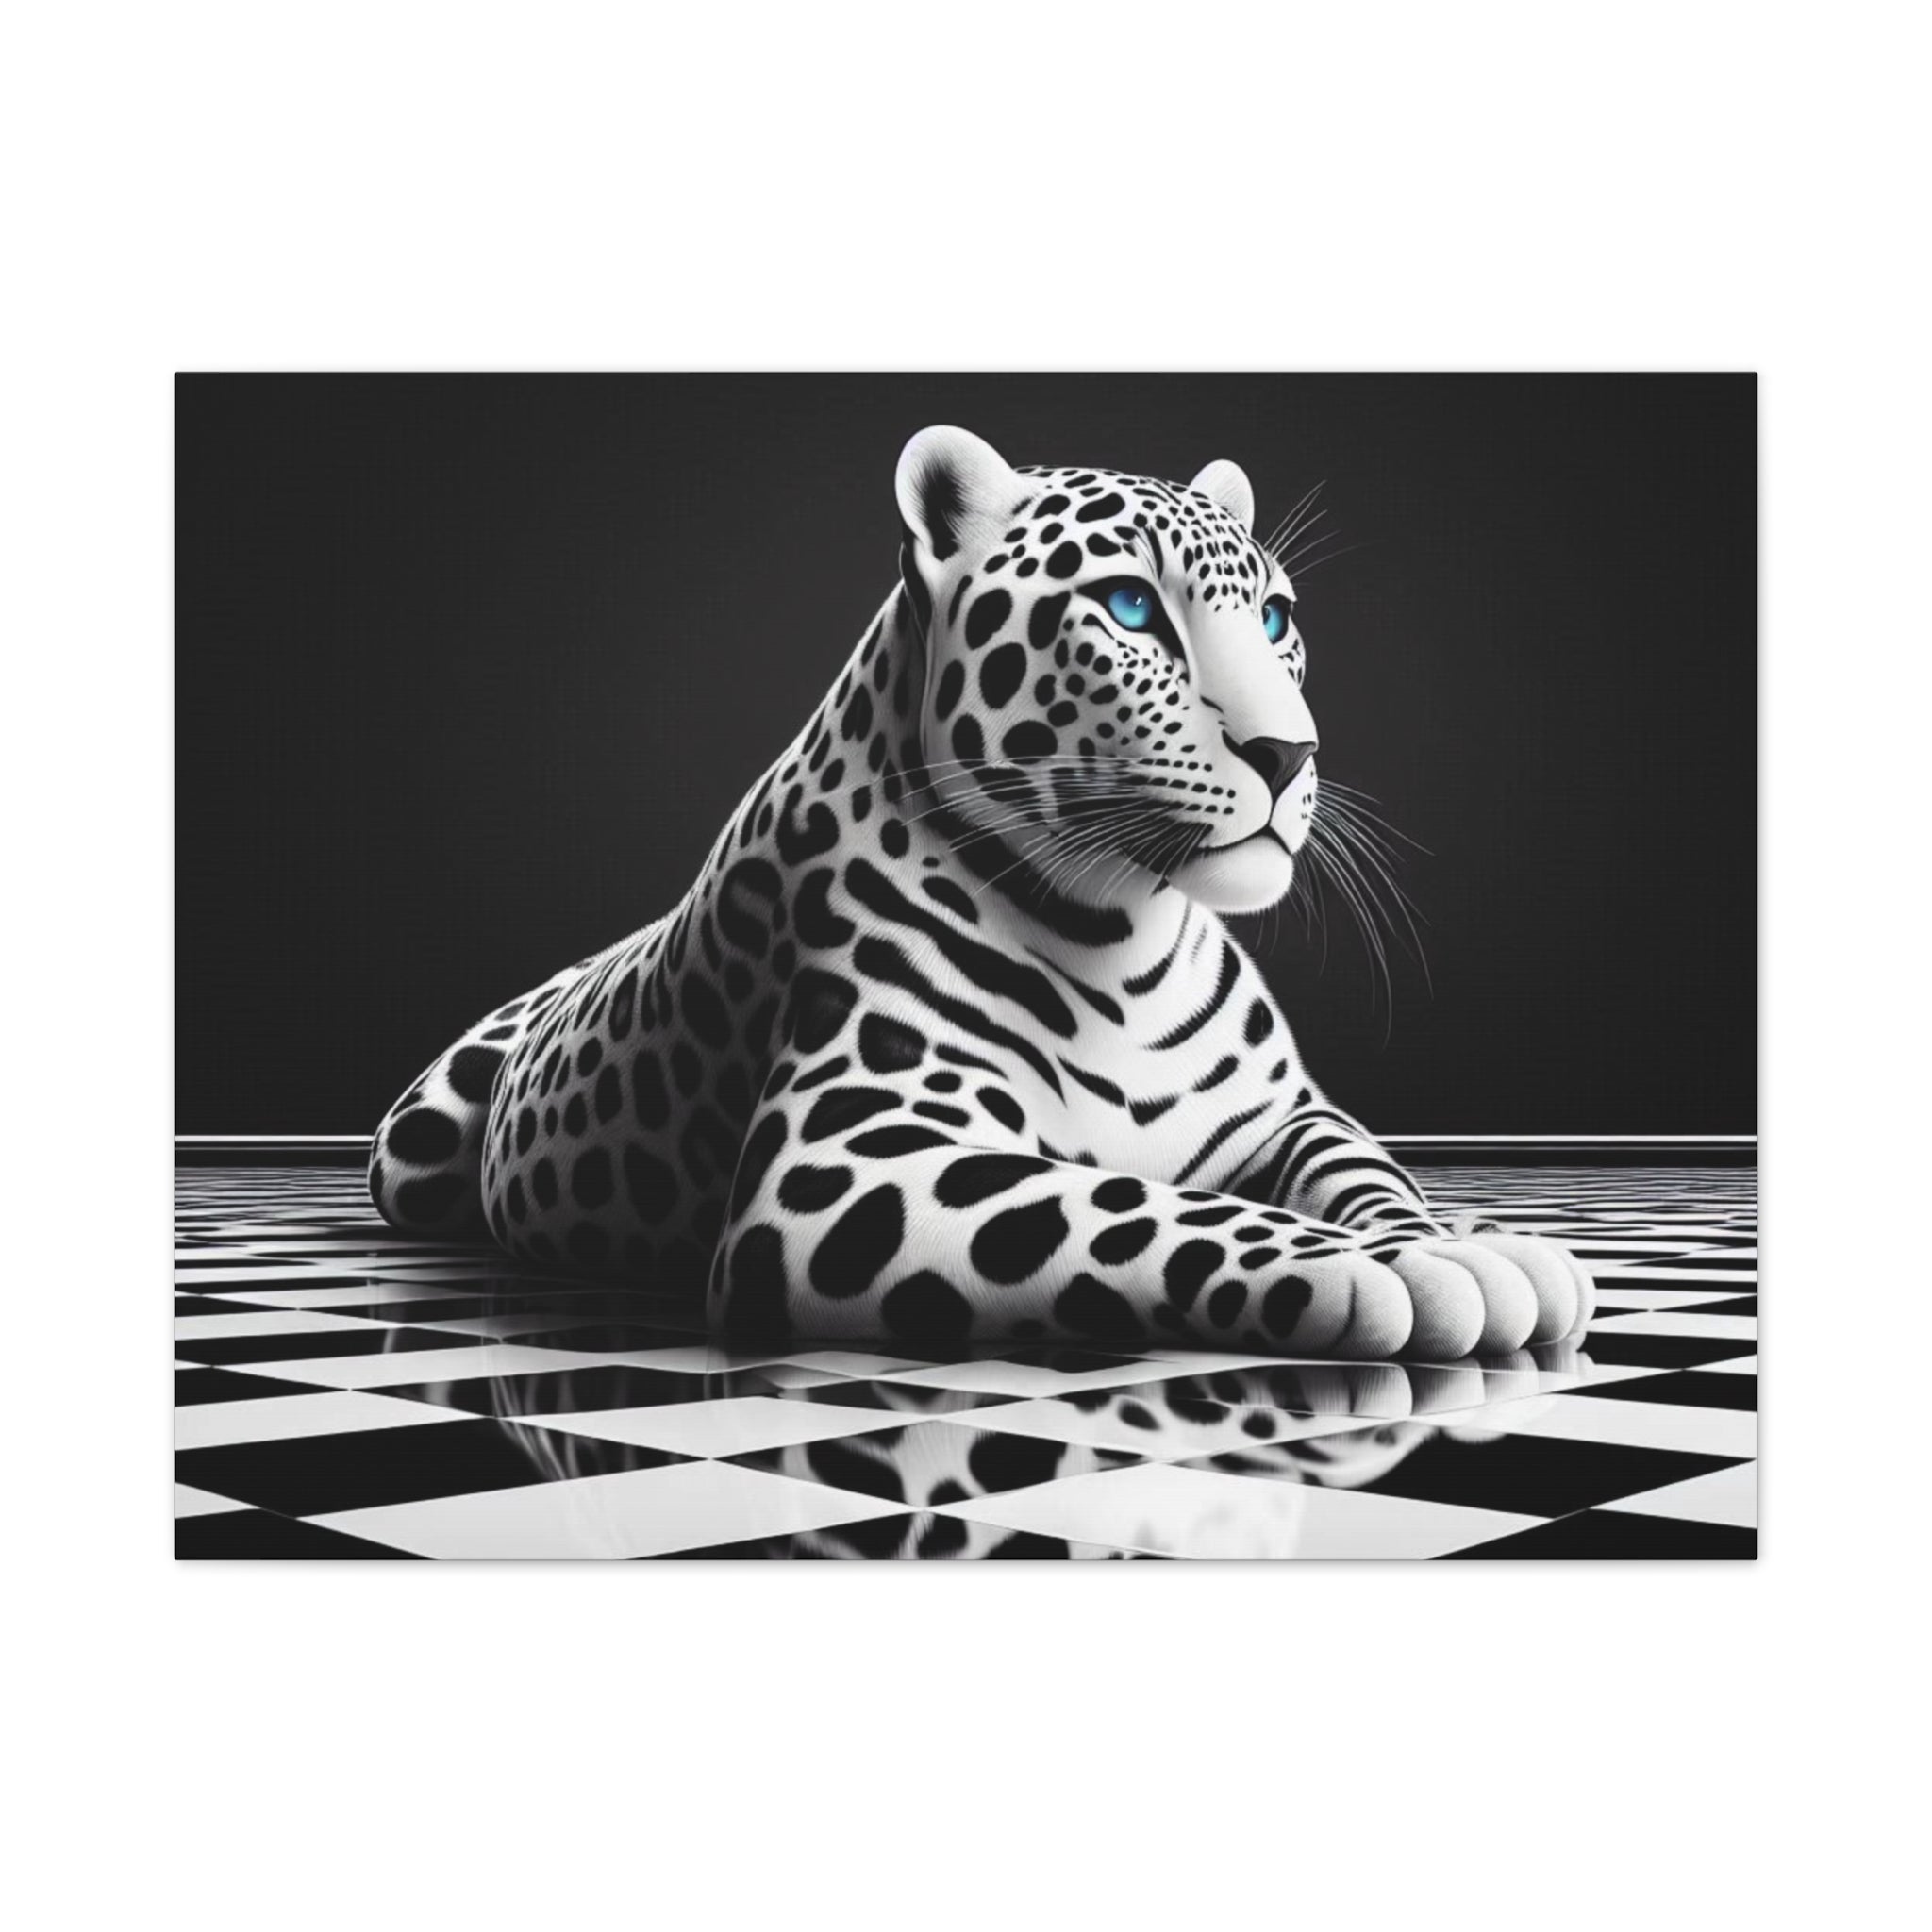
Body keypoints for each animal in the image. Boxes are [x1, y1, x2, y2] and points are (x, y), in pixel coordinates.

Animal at [368, 426, 1595, 1361]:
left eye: (1275, 620)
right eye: (1129, 609)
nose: (1288, 755)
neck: (1127, 937)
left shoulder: (1286, 1115)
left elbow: (1366, 1171)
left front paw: (1450, 1233)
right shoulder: (847, 1160)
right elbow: (1141, 1202)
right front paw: (1394, 1269)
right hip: (411, 1147)